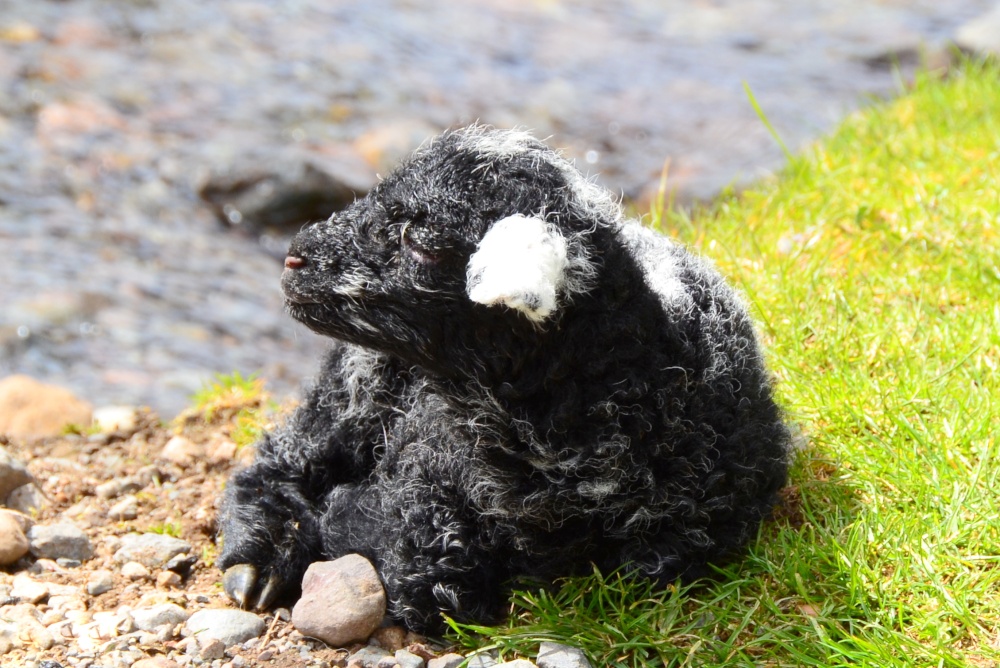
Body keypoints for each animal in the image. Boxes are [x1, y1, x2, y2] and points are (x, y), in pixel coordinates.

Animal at [216, 125, 790, 633]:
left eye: (421, 243)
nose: (294, 257)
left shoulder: (703, 524)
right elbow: (427, 574)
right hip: (361, 382)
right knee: (289, 453)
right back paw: (261, 560)